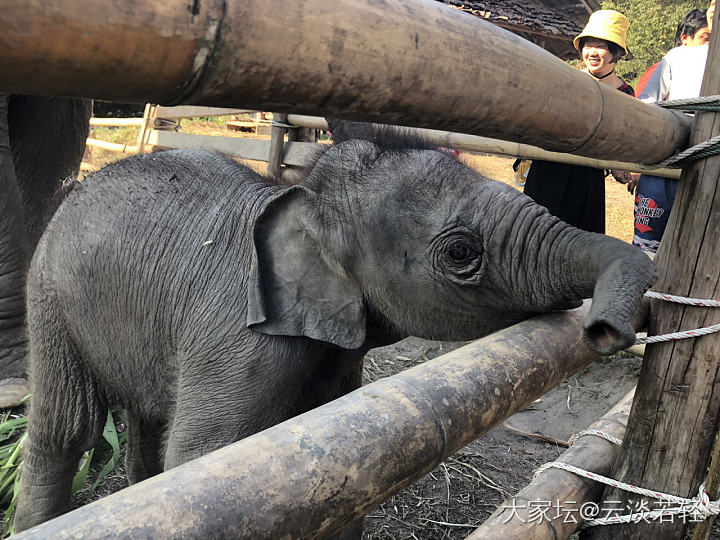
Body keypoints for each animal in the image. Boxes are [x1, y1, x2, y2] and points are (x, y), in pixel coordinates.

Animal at [14, 130, 656, 532]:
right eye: (460, 252)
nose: (604, 329)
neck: (307, 198)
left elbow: (341, 458)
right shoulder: (238, 341)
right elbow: (204, 461)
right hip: (46, 295)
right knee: (66, 428)